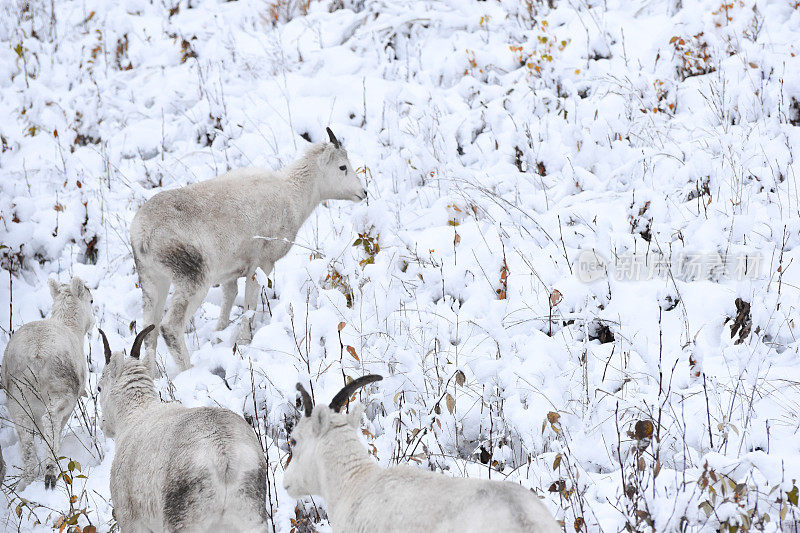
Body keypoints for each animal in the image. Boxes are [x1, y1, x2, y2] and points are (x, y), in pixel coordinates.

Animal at [1, 276, 94, 488]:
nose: (92, 322)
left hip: (16, 400)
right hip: (59, 392)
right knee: (50, 421)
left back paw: (26, 480)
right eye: (91, 301)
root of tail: (35, 355)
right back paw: (50, 471)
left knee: (26, 439)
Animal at [97, 324, 268, 532]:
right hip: (251, 521)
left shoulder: (131, 521)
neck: (134, 415)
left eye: (99, 388)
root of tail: (225, 459)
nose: (103, 425)